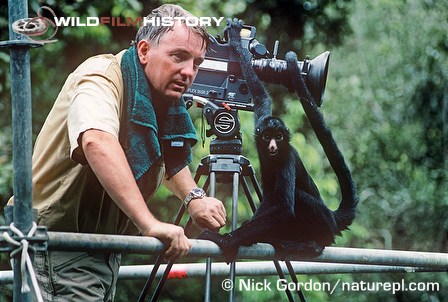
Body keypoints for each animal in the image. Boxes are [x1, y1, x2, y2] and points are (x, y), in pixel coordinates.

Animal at [198, 19, 358, 262]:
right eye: (267, 136)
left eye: (279, 137)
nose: (273, 145)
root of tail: (332, 217)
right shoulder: (261, 119)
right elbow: (260, 95)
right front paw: (236, 41)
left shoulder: (287, 156)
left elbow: (283, 208)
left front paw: (224, 239)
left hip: (322, 223)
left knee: (297, 200)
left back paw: (313, 245)